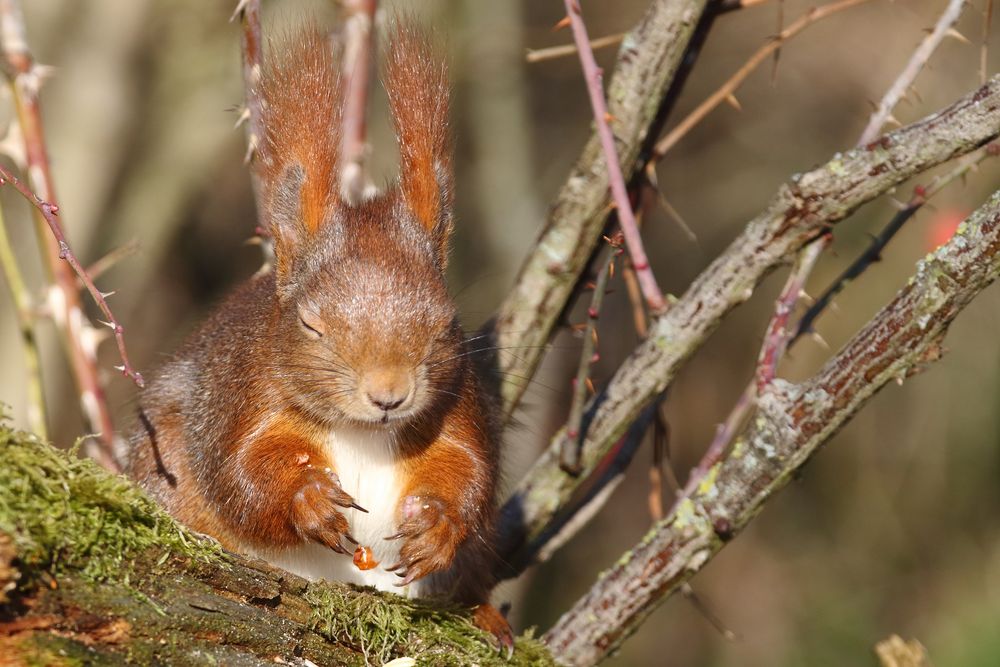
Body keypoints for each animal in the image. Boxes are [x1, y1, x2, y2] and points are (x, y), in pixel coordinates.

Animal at [126, 19, 512, 652]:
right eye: (310, 324)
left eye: (444, 324)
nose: (390, 395)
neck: (362, 432)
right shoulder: (241, 397)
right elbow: (242, 472)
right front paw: (308, 498)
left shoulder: (458, 409)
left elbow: (467, 472)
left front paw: (437, 524)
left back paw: (485, 615)